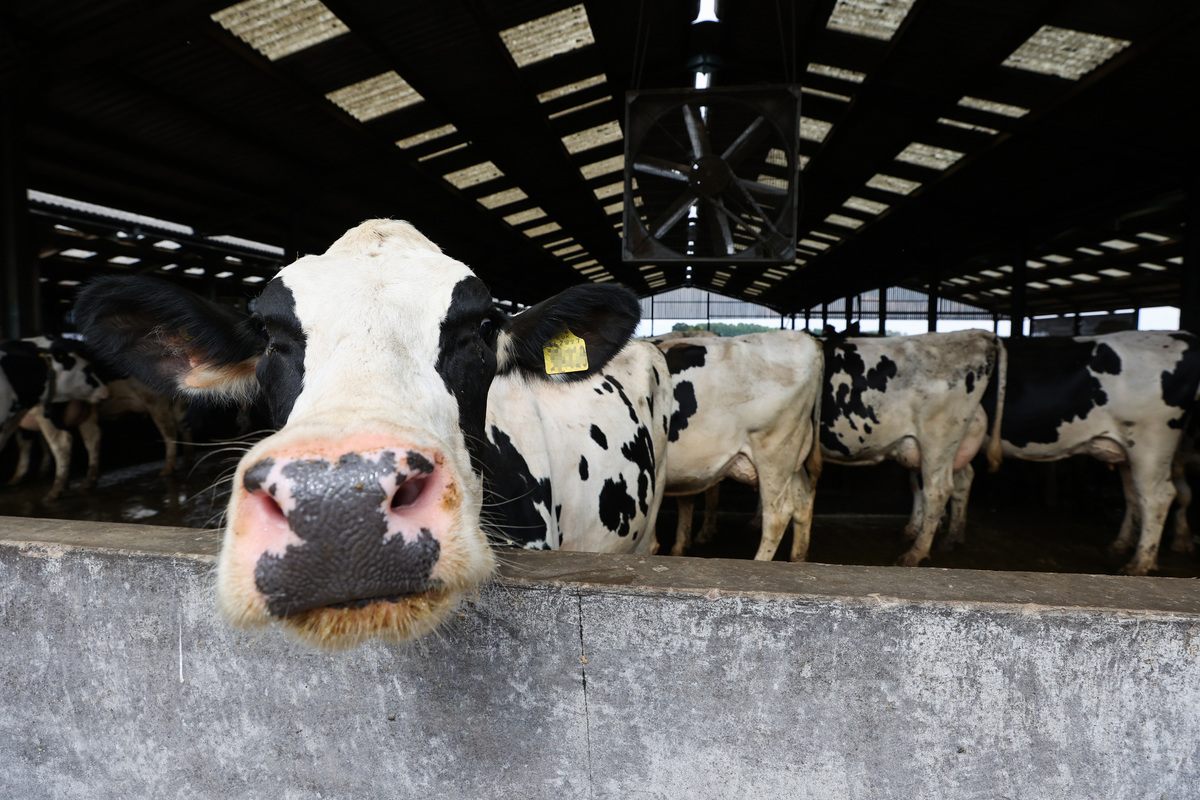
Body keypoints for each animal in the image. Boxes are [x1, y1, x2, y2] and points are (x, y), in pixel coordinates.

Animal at [821, 330, 1006, 566]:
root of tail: (975, 333)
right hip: (949, 447)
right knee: (960, 479)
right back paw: (951, 538)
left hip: (936, 442)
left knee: (937, 491)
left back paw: (915, 553)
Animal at [976, 331, 1200, 576]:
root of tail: (1181, 335)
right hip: (1129, 452)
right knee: (1136, 495)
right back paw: (1121, 546)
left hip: (1150, 444)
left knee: (1158, 497)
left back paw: (1140, 563)